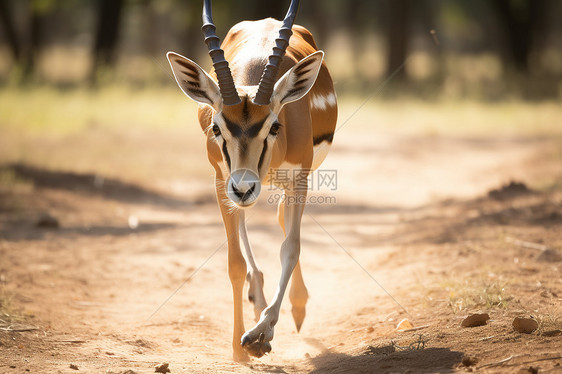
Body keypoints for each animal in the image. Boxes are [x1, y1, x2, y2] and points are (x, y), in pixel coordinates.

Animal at [165, 0, 332, 360]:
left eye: (274, 125)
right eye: (216, 127)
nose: (244, 186)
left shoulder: (298, 180)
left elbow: (291, 248)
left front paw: (260, 334)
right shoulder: (221, 181)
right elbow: (235, 264)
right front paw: (240, 348)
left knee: (283, 220)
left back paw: (296, 309)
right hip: (233, 187)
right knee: (249, 223)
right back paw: (258, 300)